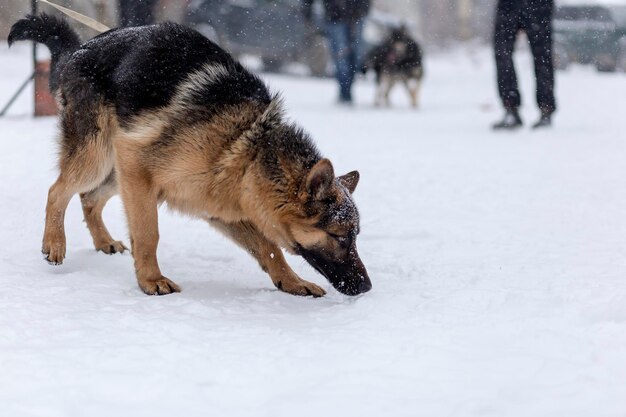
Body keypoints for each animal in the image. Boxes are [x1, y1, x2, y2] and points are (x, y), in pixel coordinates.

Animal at [7, 13, 370, 296]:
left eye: (355, 237)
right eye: (340, 238)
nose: (367, 287)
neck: (246, 148)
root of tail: (79, 50)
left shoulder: (219, 208)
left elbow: (269, 250)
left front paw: (291, 282)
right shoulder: (139, 167)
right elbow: (149, 233)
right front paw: (150, 280)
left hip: (118, 173)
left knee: (88, 197)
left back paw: (103, 241)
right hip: (101, 159)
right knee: (58, 190)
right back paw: (55, 243)